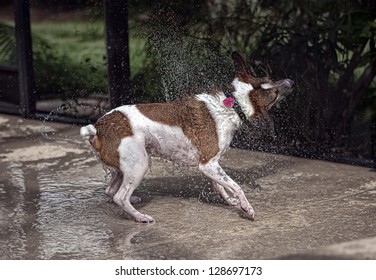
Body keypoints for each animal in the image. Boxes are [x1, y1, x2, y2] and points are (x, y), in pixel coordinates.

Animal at [81, 51, 294, 223]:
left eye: (269, 78)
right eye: (275, 92)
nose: (291, 82)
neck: (233, 106)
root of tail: (98, 127)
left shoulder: (211, 165)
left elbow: (221, 186)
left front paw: (230, 201)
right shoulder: (208, 164)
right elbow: (236, 186)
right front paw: (247, 208)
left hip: (123, 167)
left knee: (111, 191)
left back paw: (132, 201)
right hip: (139, 163)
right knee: (120, 196)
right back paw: (139, 216)